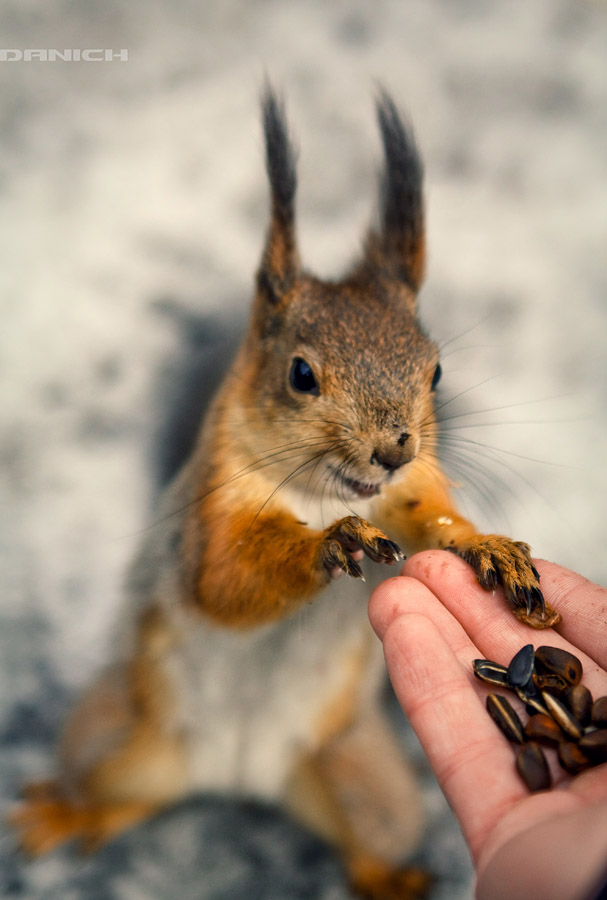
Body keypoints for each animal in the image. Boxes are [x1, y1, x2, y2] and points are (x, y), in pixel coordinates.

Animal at [11, 86, 564, 900]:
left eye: (434, 371)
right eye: (300, 374)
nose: (394, 446)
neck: (323, 492)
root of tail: (239, 773)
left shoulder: (407, 490)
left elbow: (429, 519)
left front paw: (487, 547)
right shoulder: (213, 510)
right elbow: (224, 579)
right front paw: (328, 545)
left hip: (364, 786)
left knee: (358, 836)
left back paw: (389, 877)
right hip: (112, 737)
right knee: (118, 795)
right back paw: (64, 814)